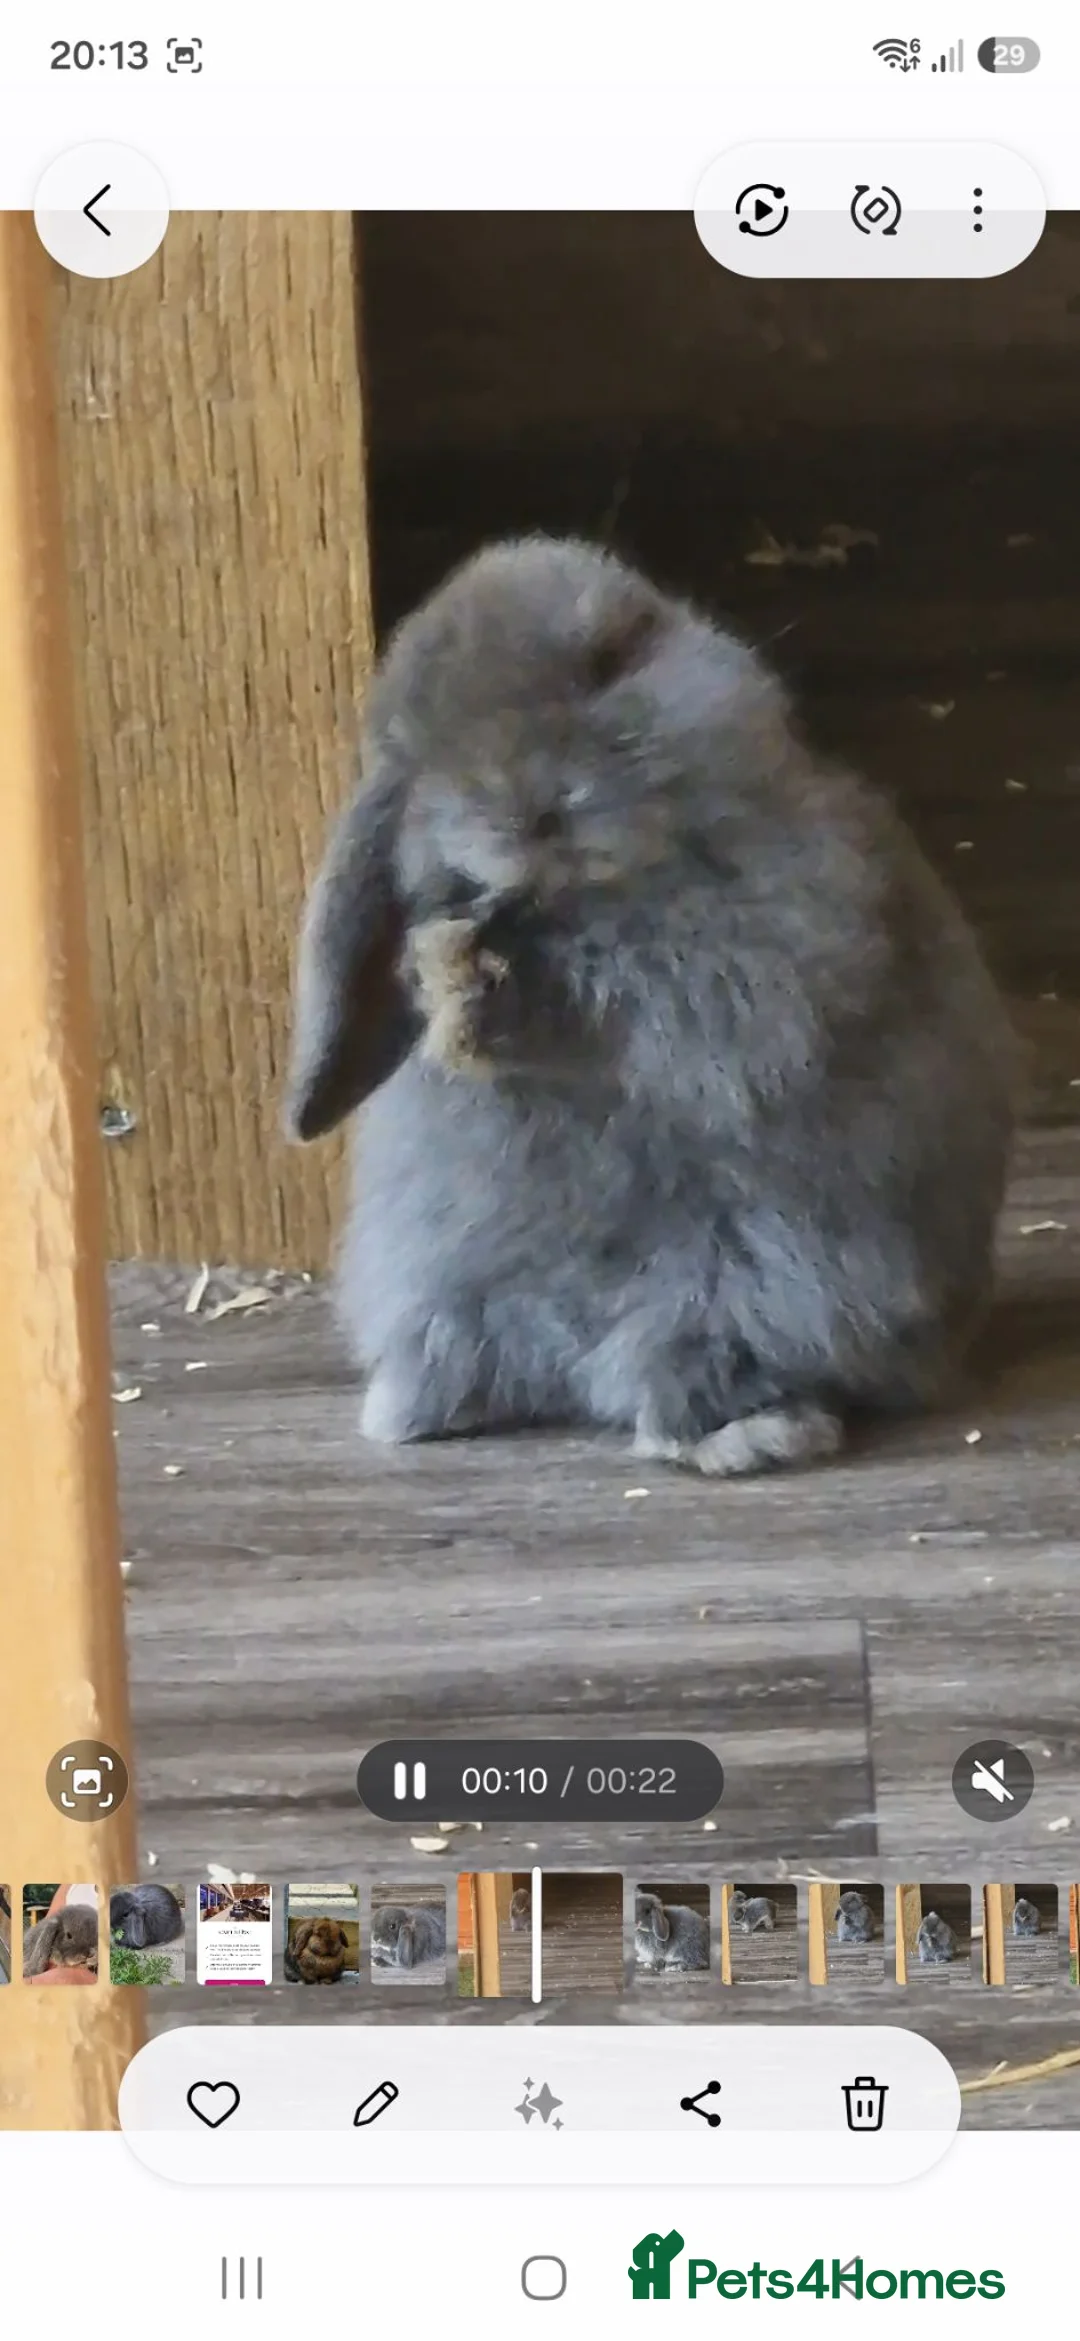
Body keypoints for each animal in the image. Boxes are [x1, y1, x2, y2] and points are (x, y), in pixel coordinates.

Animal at [286, 535, 1014, 1478]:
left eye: (611, 659)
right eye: (412, 743)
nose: (523, 814)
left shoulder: (775, 945)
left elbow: (655, 997)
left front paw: (480, 988)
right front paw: (444, 971)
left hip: (759, 1282)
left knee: (679, 1377)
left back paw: (755, 1433)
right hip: (438, 1278)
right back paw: (411, 1410)